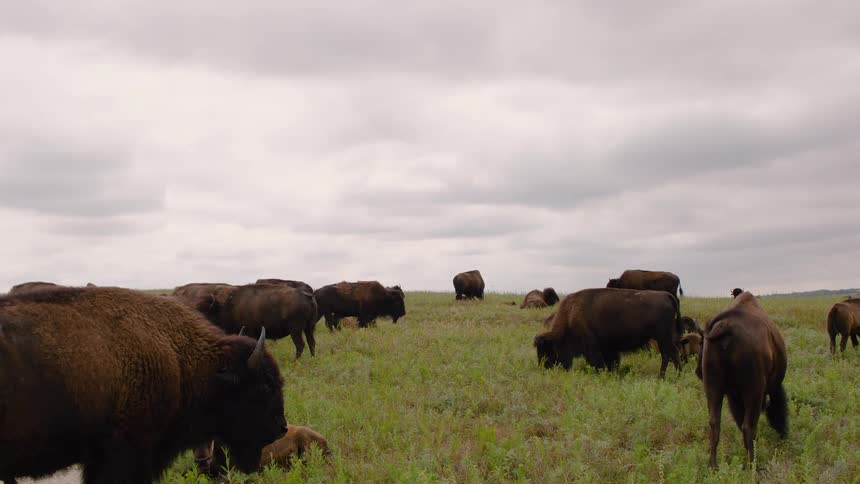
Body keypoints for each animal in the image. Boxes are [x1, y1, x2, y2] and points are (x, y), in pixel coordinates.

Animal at [185, 283, 319, 360]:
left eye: (206, 312)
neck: (227, 305)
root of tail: (308, 296)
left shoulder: (250, 332)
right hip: (309, 327)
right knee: (311, 342)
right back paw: (312, 359)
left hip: (295, 330)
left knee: (300, 344)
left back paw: (295, 361)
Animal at [533, 288, 682, 378]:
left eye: (546, 350)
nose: (544, 368)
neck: (571, 315)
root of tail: (666, 295)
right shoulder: (607, 348)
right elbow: (612, 362)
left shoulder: (592, 347)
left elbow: (598, 362)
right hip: (662, 339)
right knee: (667, 355)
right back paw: (663, 376)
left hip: (664, 337)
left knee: (672, 353)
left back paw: (674, 376)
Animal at [695, 291, 788, 468]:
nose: (698, 372)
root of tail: (726, 327)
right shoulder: (772, 387)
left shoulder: (732, 395)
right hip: (753, 391)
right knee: (748, 427)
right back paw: (753, 466)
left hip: (713, 388)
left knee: (715, 424)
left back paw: (713, 466)